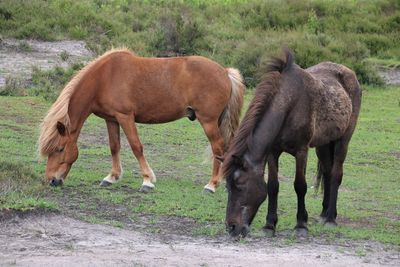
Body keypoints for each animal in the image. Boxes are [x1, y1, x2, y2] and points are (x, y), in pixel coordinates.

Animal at [38, 49, 244, 194]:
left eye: (60, 149)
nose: (51, 180)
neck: (104, 78)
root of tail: (225, 72)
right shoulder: (111, 119)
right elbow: (114, 147)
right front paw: (112, 177)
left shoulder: (125, 117)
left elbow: (136, 146)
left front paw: (147, 180)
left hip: (208, 122)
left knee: (218, 148)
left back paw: (212, 185)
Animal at [223, 49, 360, 239]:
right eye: (227, 187)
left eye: (240, 186)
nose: (232, 228)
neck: (289, 104)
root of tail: (349, 73)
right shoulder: (273, 152)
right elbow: (273, 186)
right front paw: (269, 225)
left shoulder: (301, 151)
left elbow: (300, 186)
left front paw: (301, 225)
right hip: (324, 144)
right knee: (327, 172)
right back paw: (324, 214)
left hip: (342, 140)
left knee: (335, 174)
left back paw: (331, 218)